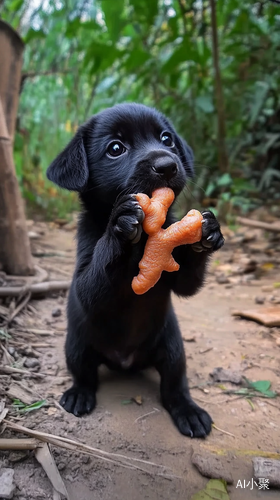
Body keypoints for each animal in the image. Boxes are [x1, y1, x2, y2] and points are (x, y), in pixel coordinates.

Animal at [47, 102, 224, 438]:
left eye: (167, 139)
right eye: (116, 148)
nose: (167, 165)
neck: (143, 242)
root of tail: (125, 361)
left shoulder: (178, 278)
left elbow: (187, 280)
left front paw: (206, 232)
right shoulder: (86, 280)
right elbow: (98, 273)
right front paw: (121, 222)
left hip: (173, 349)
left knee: (174, 388)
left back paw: (188, 411)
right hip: (76, 346)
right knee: (85, 377)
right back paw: (78, 395)